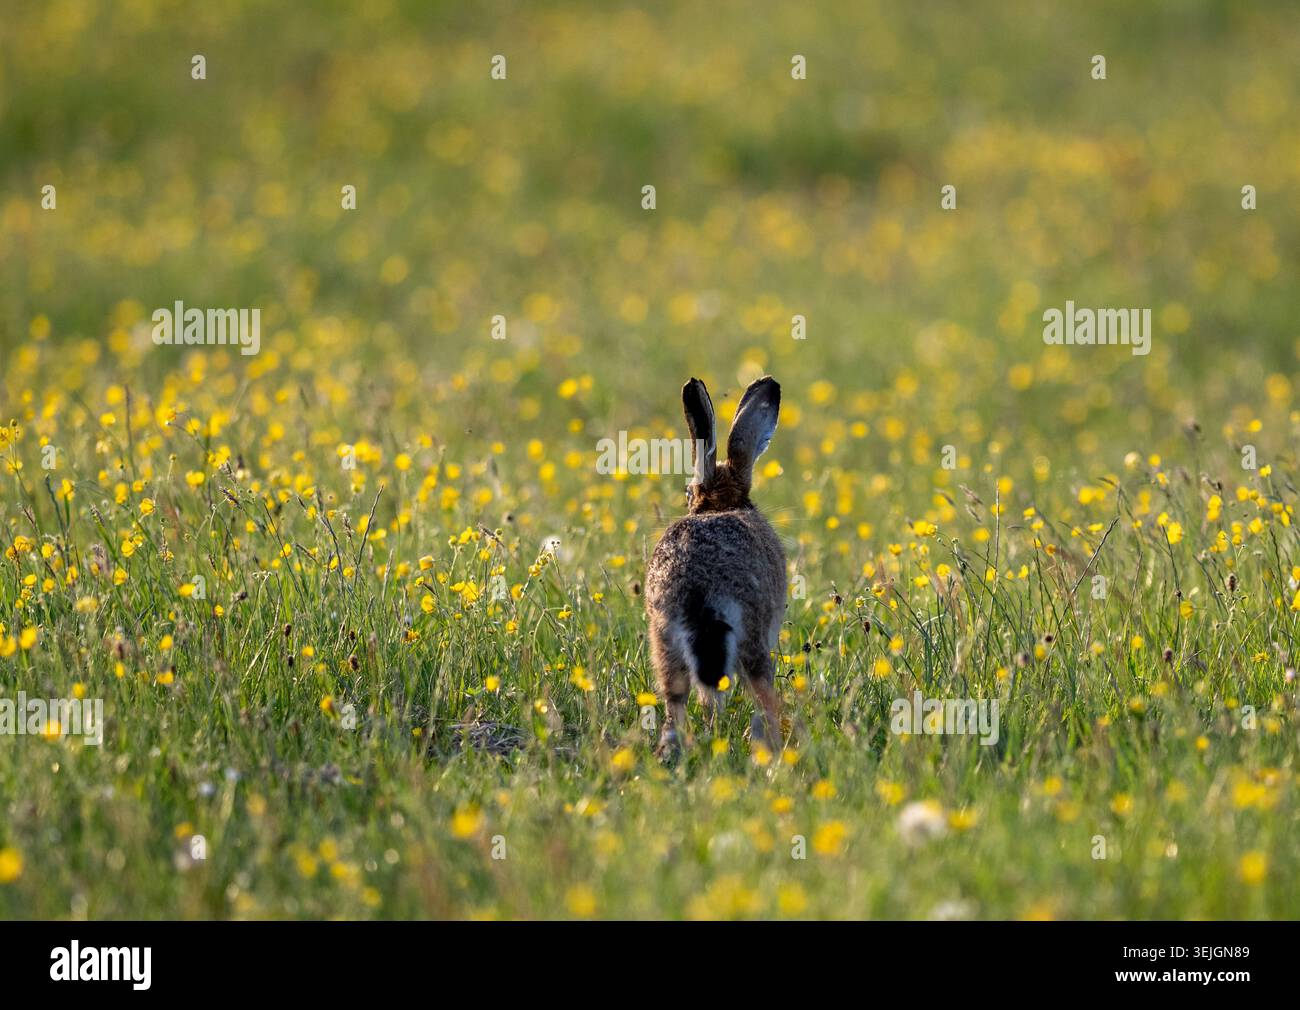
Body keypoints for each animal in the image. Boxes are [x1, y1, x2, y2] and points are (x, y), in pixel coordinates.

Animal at [645, 375, 786, 758]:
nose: (688, 500)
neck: (722, 504)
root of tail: (699, 589)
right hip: (753, 637)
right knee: (761, 695)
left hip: (663, 640)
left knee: (679, 702)